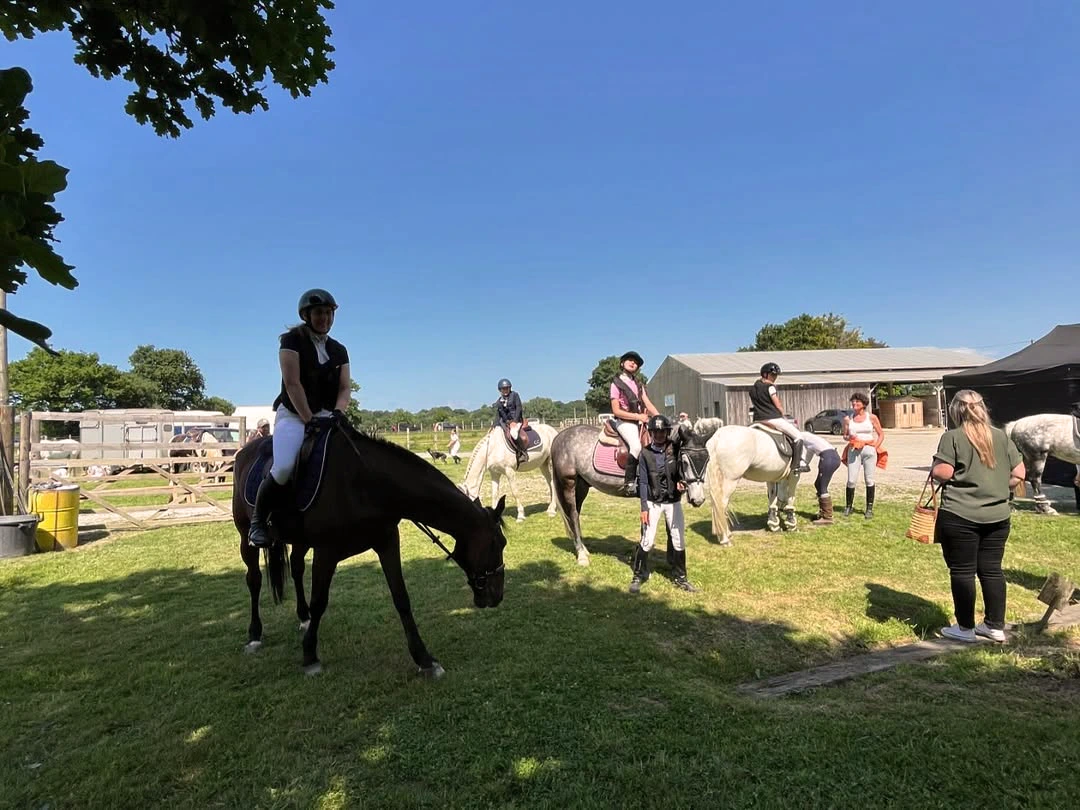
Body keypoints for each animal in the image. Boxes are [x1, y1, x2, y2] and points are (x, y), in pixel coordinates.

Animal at [232, 421, 508, 676]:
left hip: (301, 541)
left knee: (297, 568)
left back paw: (303, 617)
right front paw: (310, 655)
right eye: (498, 543)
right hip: (246, 535)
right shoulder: (326, 552)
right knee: (254, 579)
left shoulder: (387, 542)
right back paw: (254, 634)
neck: (367, 482)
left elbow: (401, 598)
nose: (497, 596)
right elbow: (320, 601)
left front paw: (424, 659)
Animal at [550, 418, 718, 566]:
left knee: (575, 514)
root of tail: (559, 436)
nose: (698, 499)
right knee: (572, 514)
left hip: (582, 485)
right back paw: (581, 555)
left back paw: (583, 549)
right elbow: (647, 526)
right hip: (568, 483)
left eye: (707, 460)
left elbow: (668, 526)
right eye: (684, 461)